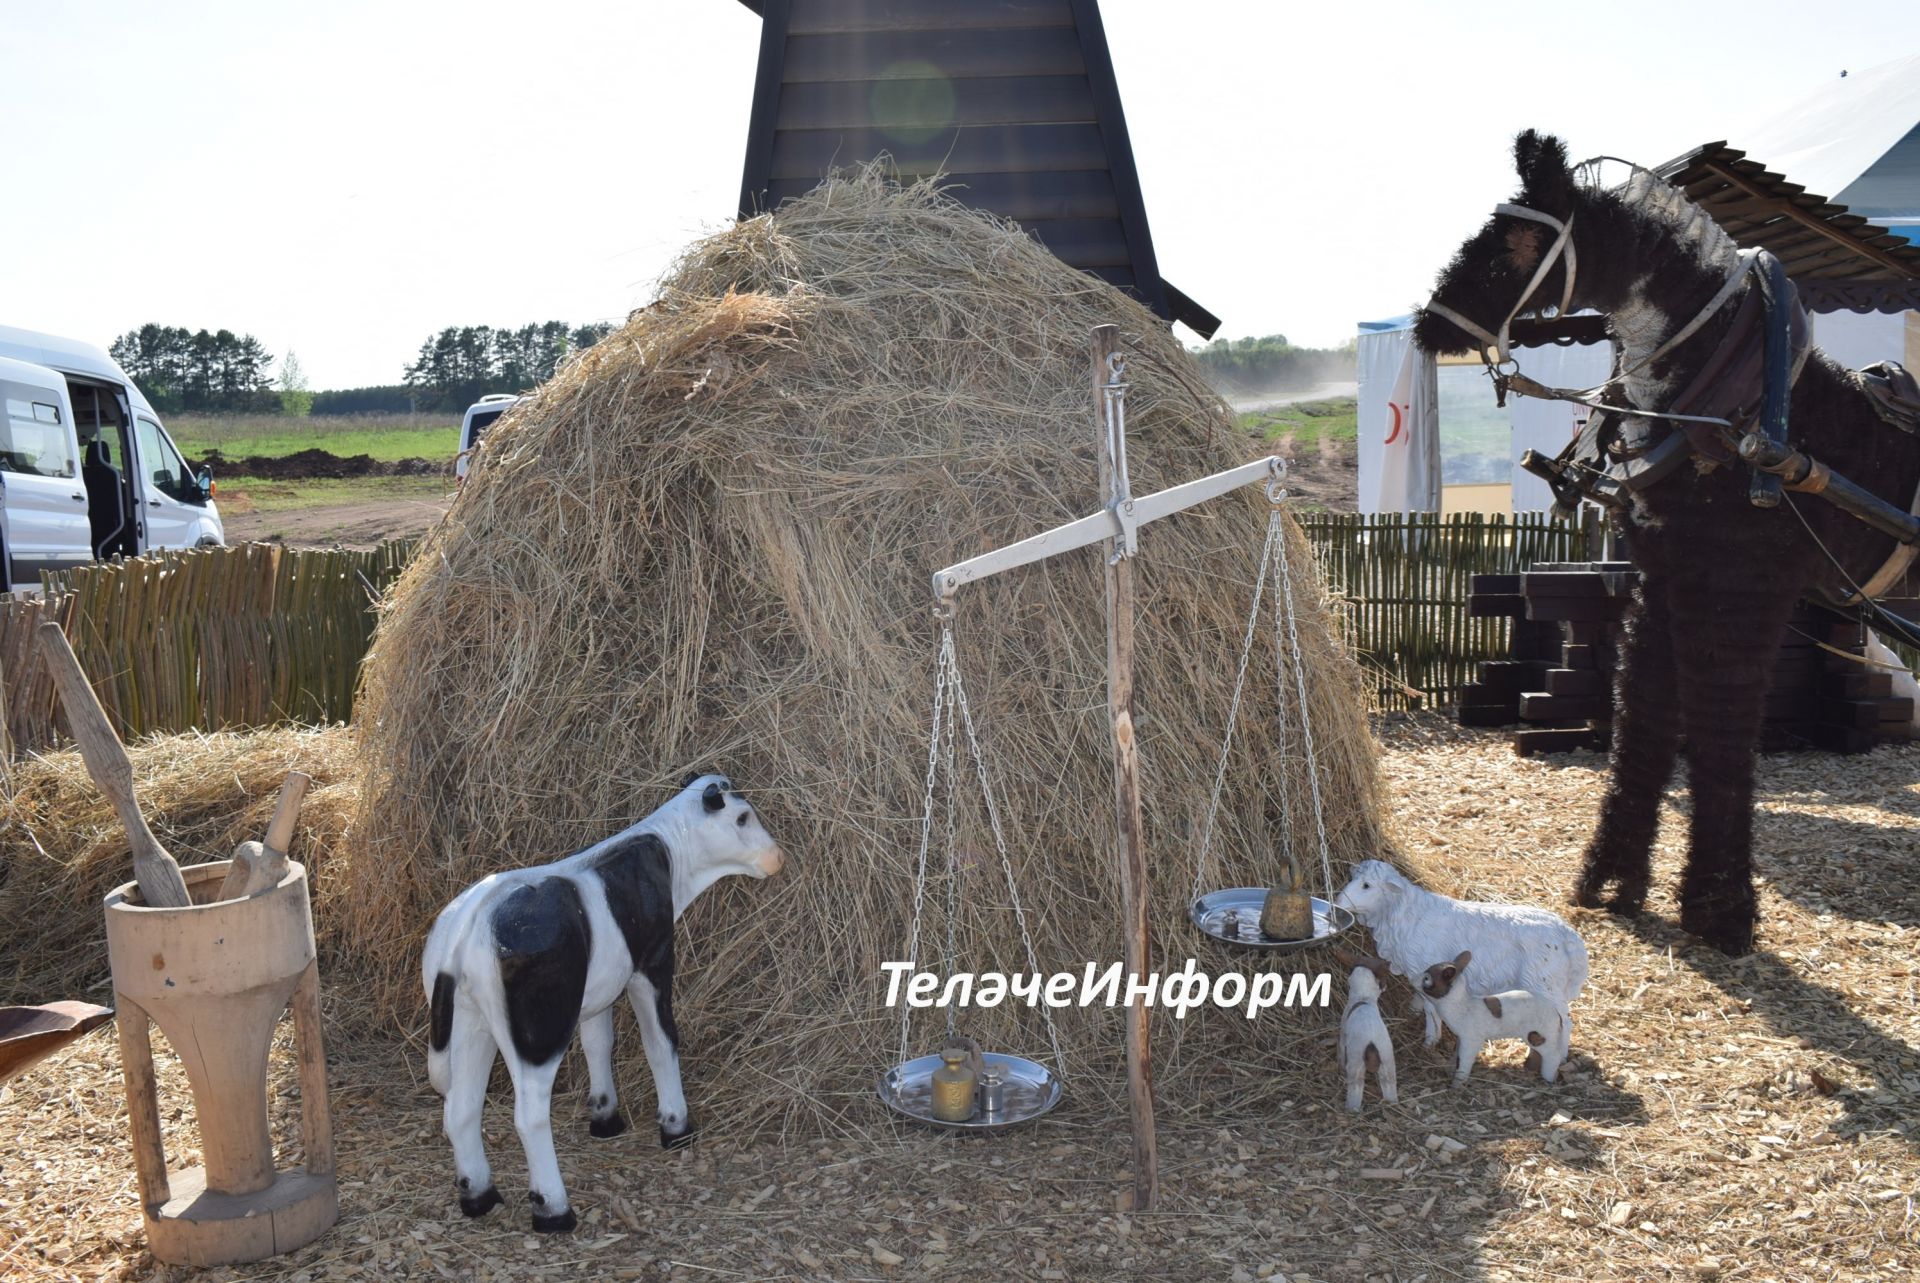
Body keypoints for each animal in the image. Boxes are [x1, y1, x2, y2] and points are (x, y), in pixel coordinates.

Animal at [424, 772, 783, 1229]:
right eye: (742, 817)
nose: (777, 857)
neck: (669, 851)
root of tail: (466, 928)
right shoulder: (651, 963)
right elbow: (660, 1042)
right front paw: (675, 1126)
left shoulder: (600, 990)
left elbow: (598, 1043)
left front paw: (605, 1117)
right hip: (539, 1034)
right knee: (528, 1114)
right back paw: (554, 1210)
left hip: (472, 1024)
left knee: (461, 1108)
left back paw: (479, 1197)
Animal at [1413, 130, 1920, 952]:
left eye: (1517, 239)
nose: (1427, 323)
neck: (1739, 408)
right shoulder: (1662, 580)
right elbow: (1642, 721)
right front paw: (1615, 881)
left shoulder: (1742, 591)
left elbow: (1719, 729)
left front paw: (1719, 909)